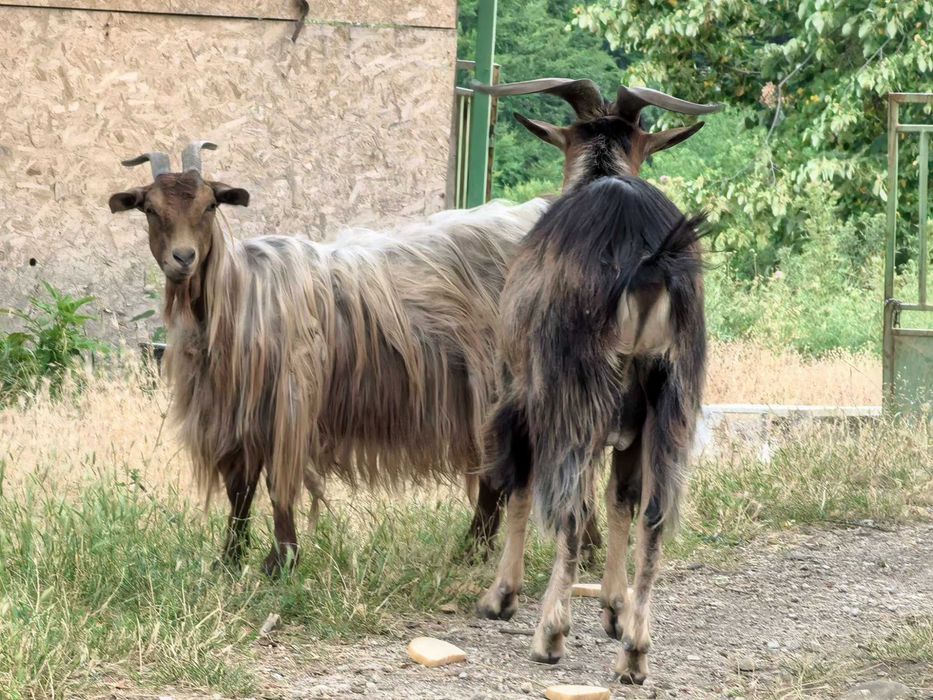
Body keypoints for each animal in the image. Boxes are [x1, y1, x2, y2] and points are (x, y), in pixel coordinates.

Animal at [108, 141, 547, 575]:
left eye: (210, 205)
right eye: (150, 208)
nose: (183, 258)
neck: (236, 294)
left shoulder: (288, 401)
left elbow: (276, 482)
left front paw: (281, 561)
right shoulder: (234, 413)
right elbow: (240, 488)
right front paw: (229, 559)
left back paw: (481, 549)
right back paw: (481, 550)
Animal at [471, 79, 717, 684]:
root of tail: (646, 263)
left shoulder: (521, 397)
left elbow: (520, 484)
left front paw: (500, 598)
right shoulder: (630, 424)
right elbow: (622, 498)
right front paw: (612, 608)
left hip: (575, 389)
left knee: (570, 506)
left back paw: (549, 636)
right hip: (672, 392)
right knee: (653, 512)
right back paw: (634, 653)